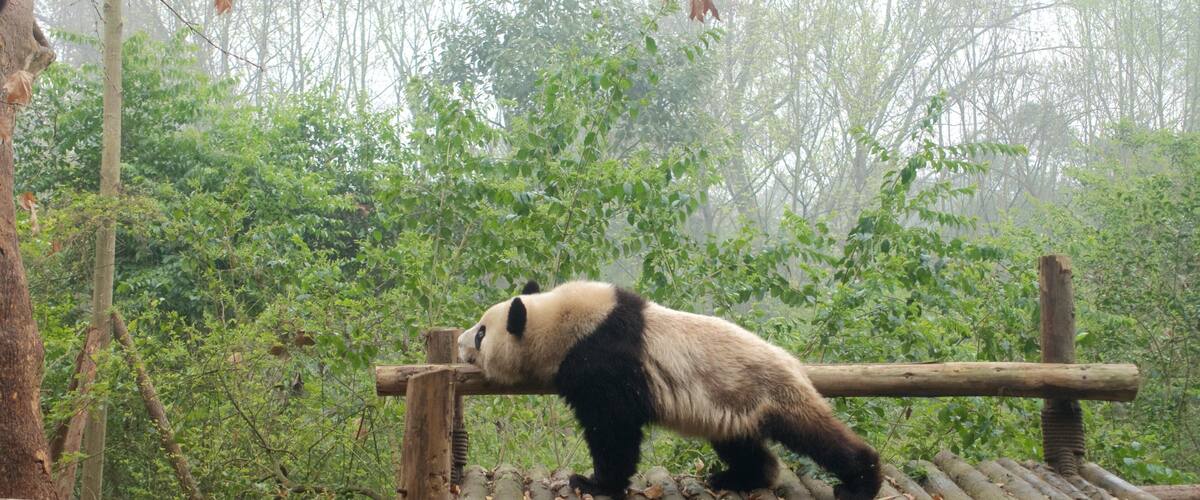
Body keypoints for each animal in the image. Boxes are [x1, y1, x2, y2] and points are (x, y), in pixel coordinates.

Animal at [457, 280, 881, 500]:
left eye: (481, 334)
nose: (460, 344)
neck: (560, 320)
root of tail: (795, 365)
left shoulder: (604, 360)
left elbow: (613, 428)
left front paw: (593, 483)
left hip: (767, 389)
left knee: (816, 435)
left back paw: (862, 481)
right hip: (732, 406)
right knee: (741, 444)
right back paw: (739, 478)